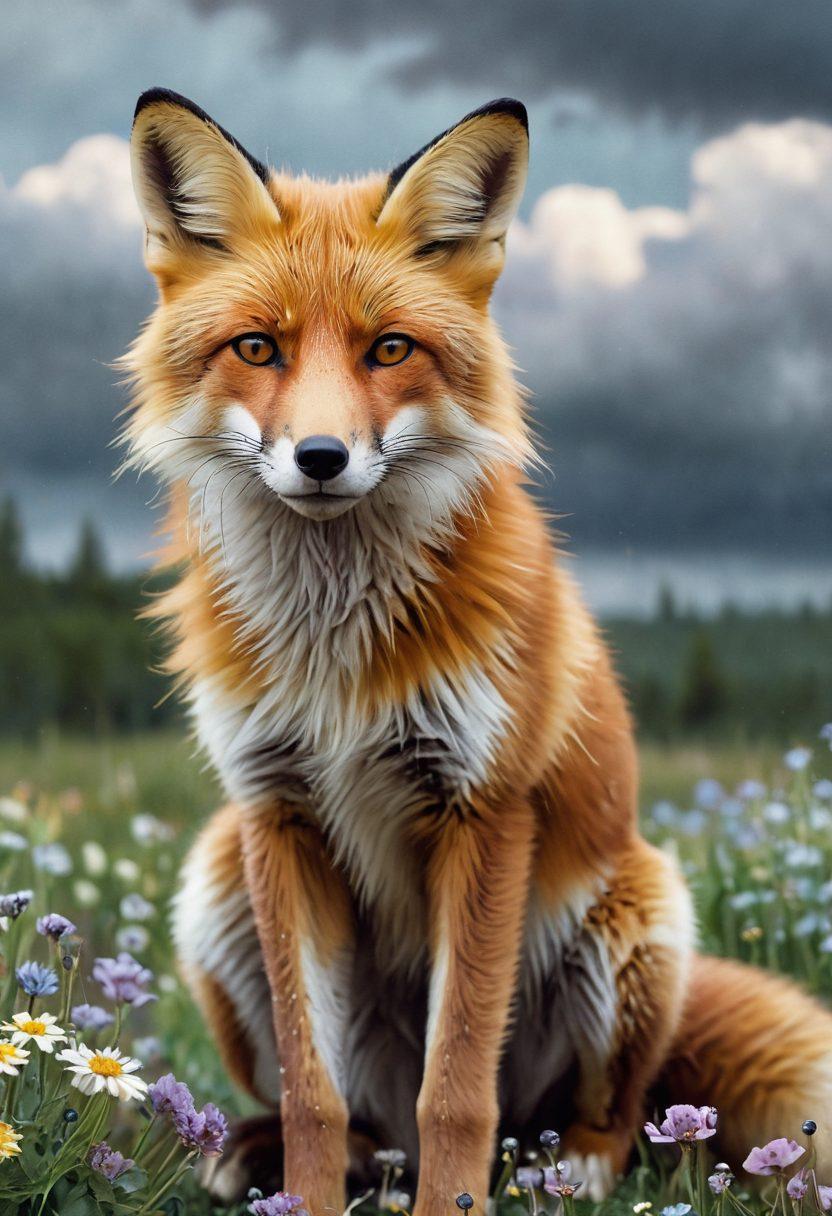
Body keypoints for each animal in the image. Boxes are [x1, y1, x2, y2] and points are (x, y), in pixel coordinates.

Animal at [123, 88, 832, 1214]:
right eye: (258, 349)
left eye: (389, 351)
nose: (320, 457)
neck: (336, 652)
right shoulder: (277, 811)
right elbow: (317, 1095)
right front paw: (308, 1198)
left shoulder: (484, 808)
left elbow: (456, 1085)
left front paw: (450, 1201)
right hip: (217, 875)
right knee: (360, 1117)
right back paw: (274, 1153)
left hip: (637, 918)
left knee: (601, 1118)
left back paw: (569, 1165)